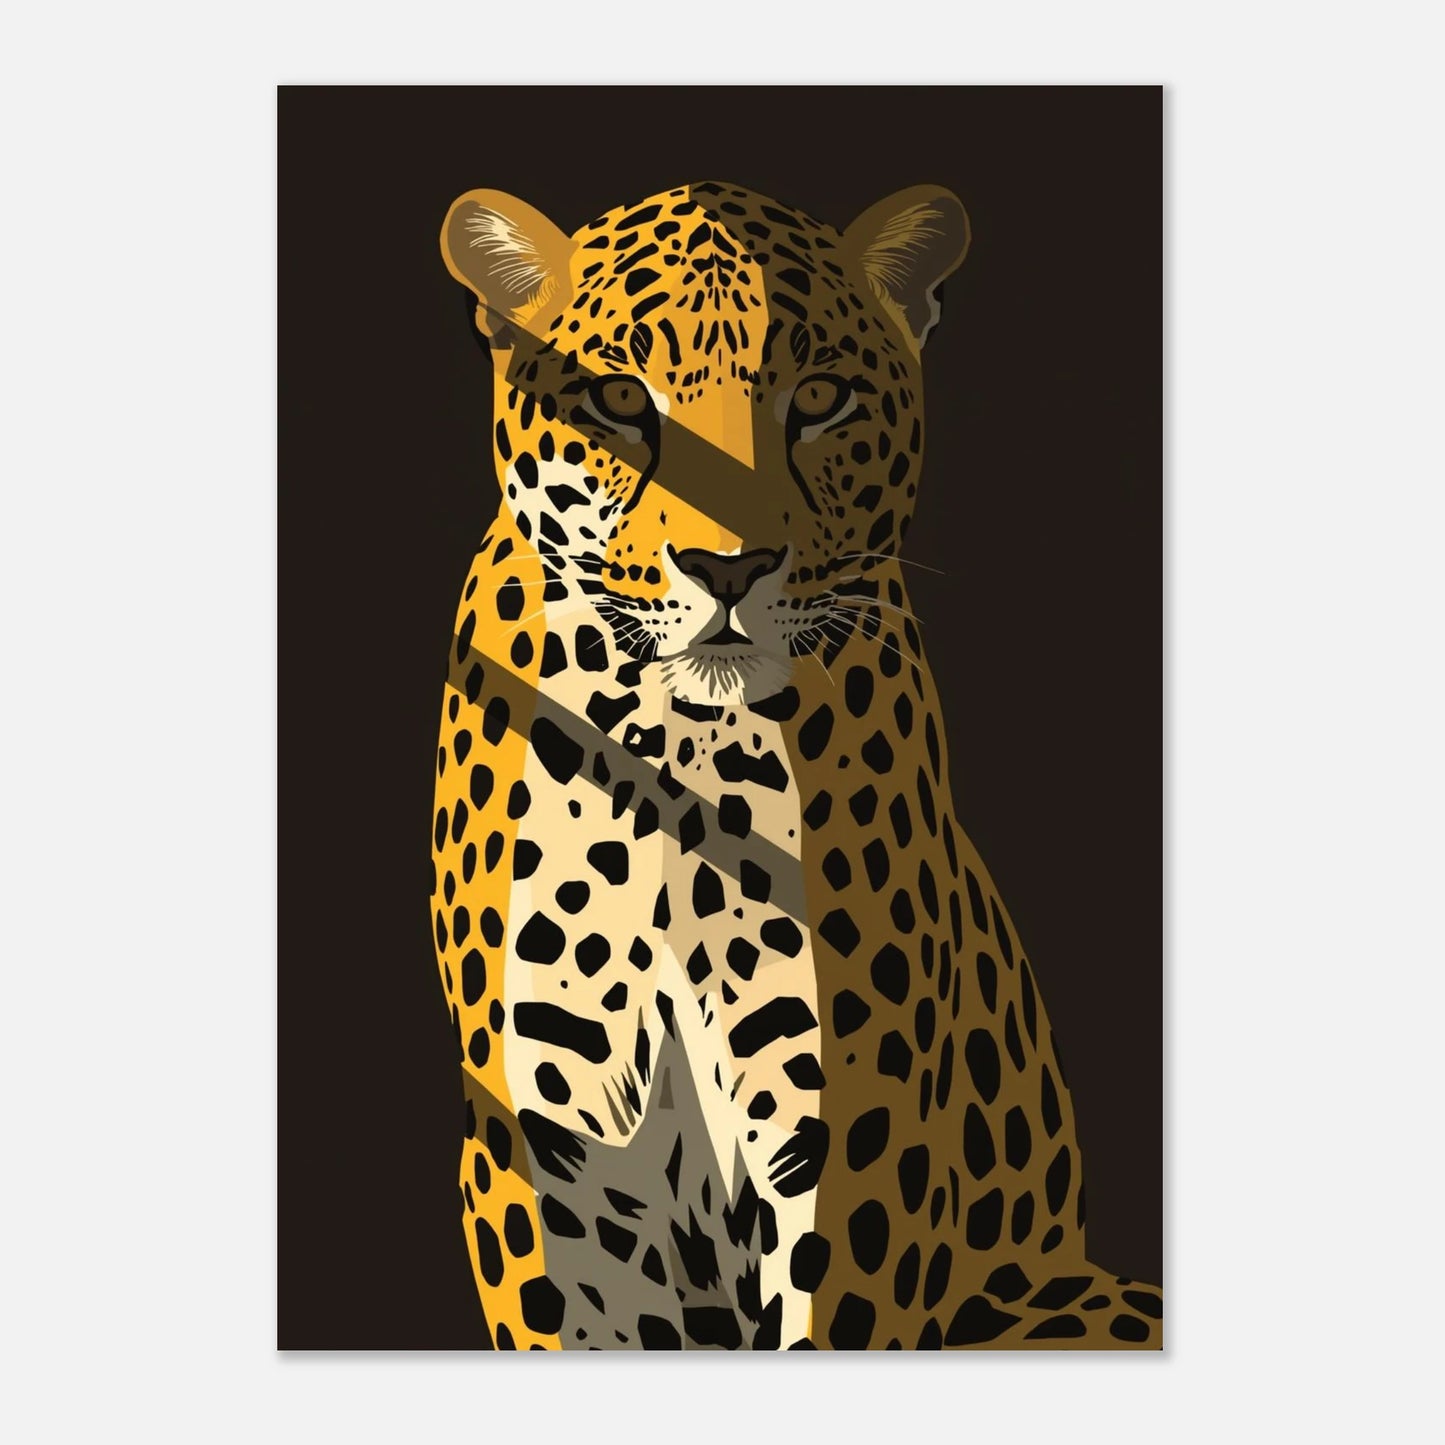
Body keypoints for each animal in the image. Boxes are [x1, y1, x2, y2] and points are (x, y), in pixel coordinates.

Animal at [428, 180, 1162, 1350]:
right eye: (618, 399)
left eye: (817, 398)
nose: (728, 566)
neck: (676, 750)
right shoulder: (546, 1147)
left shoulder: (851, 1137)